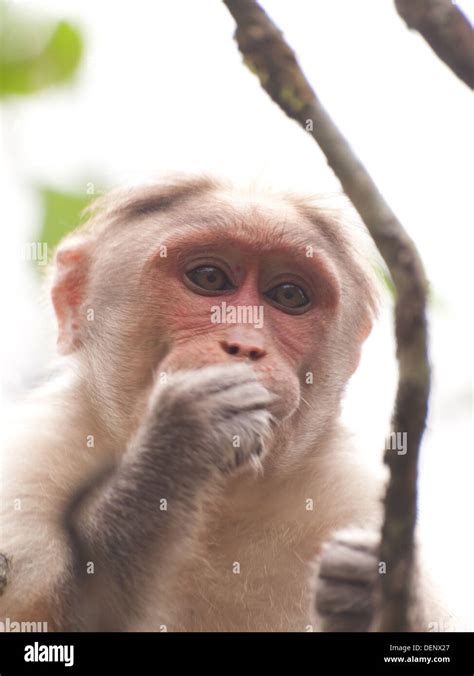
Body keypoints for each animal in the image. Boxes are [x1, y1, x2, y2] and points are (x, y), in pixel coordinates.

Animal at [0, 173, 452, 628]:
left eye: (289, 295)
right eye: (209, 278)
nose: (245, 345)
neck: (218, 500)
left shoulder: (352, 498)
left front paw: (366, 595)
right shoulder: (33, 466)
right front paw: (180, 439)